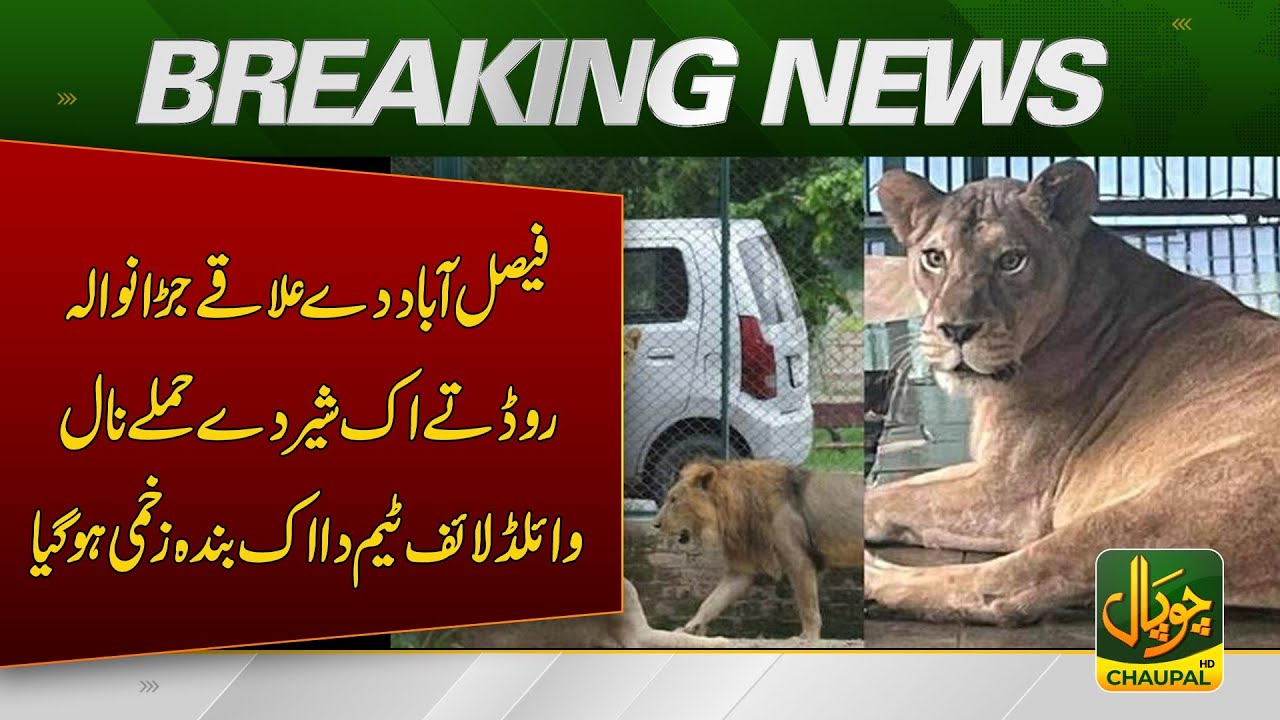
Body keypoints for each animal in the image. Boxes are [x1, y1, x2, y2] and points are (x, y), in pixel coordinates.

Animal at [654, 458, 861, 639]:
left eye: (674, 500)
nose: (656, 524)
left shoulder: (799, 561)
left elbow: (808, 607)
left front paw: (808, 637)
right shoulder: (741, 571)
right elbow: (711, 601)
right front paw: (690, 628)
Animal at [864, 159, 1280, 625]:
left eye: (1011, 260)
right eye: (934, 258)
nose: (955, 330)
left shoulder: (1011, 494)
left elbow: (905, 499)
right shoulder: (986, 468)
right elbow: (898, 490)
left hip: (1159, 506)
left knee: (1003, 588)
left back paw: (877, 579)